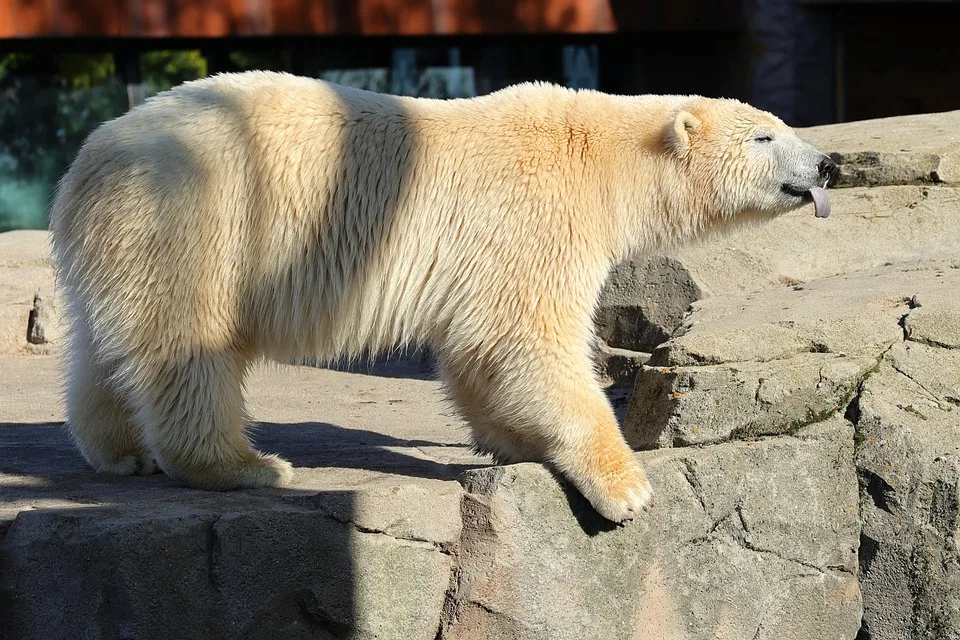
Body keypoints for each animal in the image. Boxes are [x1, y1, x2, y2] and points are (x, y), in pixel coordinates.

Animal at [48, 70, 836, 524]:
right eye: (766, 137)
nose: (828, 163)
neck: (602, 158)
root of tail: (91, 159)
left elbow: (478, 348)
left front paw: (509, 442)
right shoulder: (534, 213)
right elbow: (529, 339)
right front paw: (626, 487)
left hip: (130, 241)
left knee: (103, 346)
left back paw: (120, 453)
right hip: (202, 217)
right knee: (190, 349)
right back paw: (245, 465)